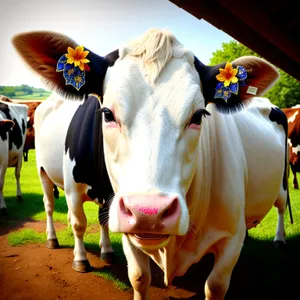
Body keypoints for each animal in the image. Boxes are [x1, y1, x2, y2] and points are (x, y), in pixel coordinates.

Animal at [13, 28, 288, 300]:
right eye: (107, 113)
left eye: (198, 115)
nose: (148, 213)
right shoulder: (77, 189)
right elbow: (121, 261)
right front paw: (81, 260)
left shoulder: (231, 238)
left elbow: (215, 286)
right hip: (43, 171)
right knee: (50, 205)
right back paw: (54, 239)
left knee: (281, 206)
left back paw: (279, 240)